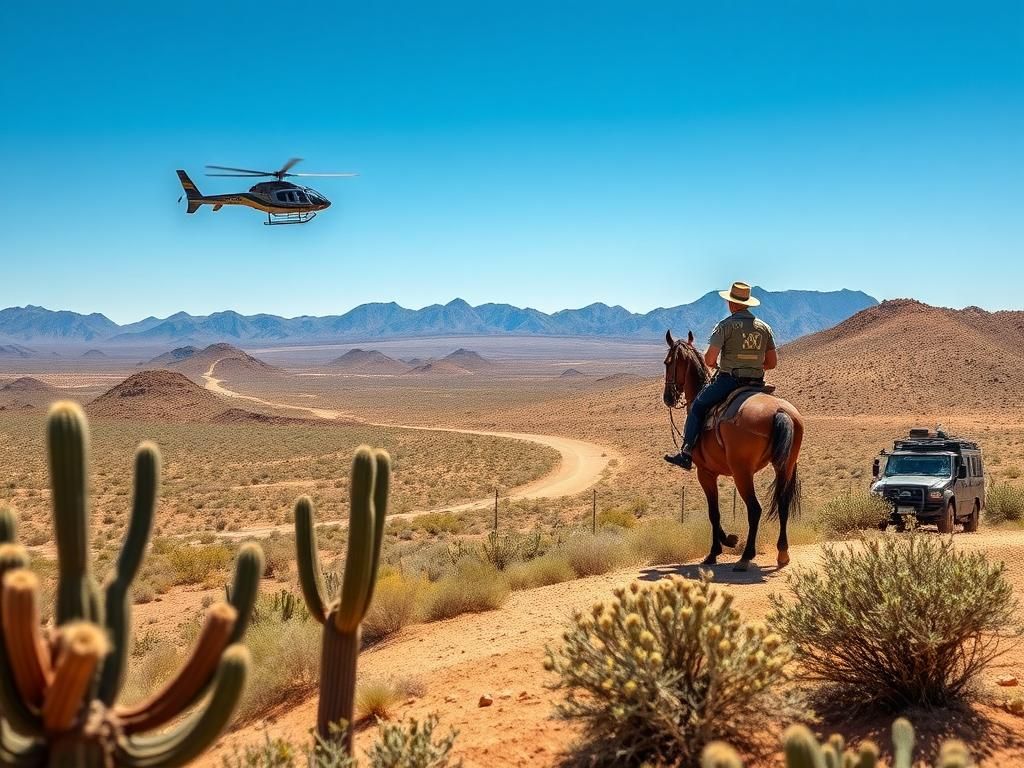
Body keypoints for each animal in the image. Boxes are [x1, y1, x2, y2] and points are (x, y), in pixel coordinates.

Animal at [667, 331, 802, 573]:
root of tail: (780, 411)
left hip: (742, 473)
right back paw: (782, 553)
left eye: (667, 363)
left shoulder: (705, 473)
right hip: (785, 466)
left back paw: (746, 557)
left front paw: (717, 549)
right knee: (783, 504)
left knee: (755, 509)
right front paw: (727, 541)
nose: (667, 397)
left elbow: (713, 513)